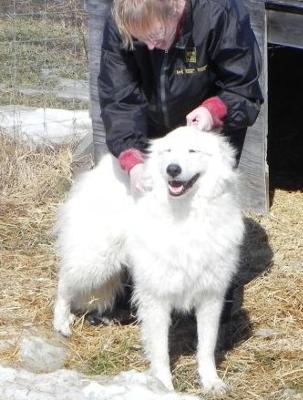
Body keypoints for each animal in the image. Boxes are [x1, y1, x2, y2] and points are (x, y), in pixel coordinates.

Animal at [53, 127, 246, 394]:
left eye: (192, 151)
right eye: (168, 151)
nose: (172, 169)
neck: (185, 214)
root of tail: (104, 165)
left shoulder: (211, 296)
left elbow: (206, 347)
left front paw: (211, 381)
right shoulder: (156, 297)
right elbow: (161, 350)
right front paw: (162, 385)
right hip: (95, 261)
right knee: (64, 284)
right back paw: (61, 322)